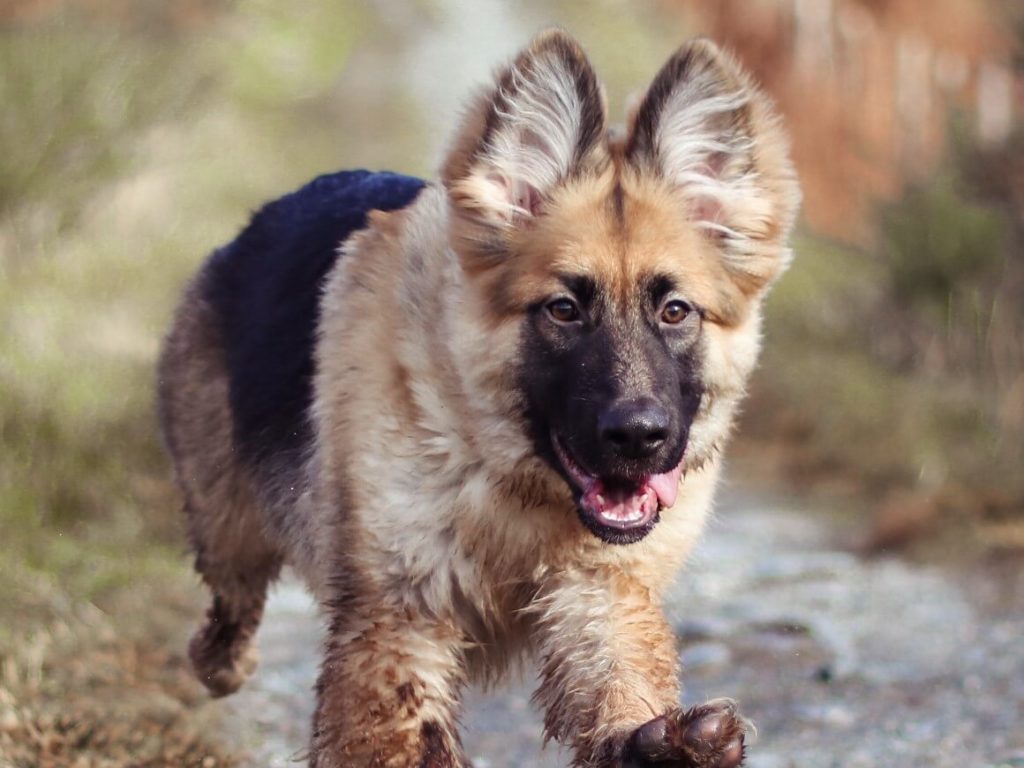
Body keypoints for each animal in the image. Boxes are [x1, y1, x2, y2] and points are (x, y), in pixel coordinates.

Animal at [157, 30, 798, 768]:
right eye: (563, 310)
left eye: (674, 311)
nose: (640, 437)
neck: (518, 488)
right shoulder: (396, 624)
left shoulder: (602, 595)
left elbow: (620, 686)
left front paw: (664, 744)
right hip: (226, 520)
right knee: (232, 603)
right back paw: (219, 661)